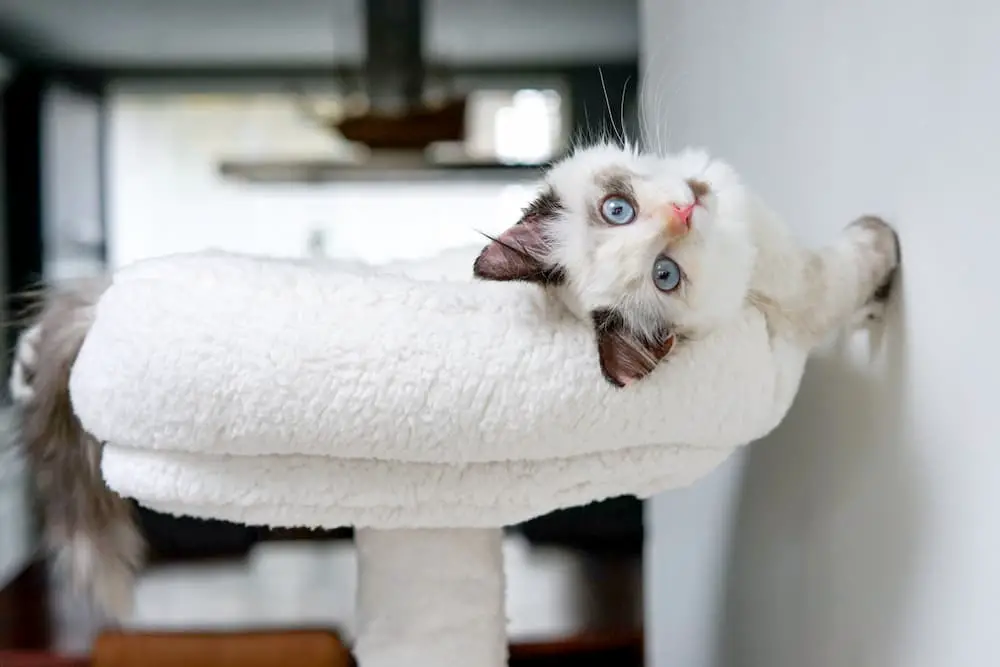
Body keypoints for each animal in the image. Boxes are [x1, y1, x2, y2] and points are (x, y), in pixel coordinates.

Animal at [472, 144, 904, 388]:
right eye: (665, 275)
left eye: (617, 210)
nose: (682, 213)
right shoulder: (805, 285)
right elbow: (858, 257)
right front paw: (881, 234)